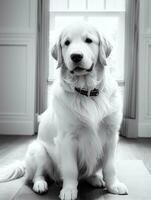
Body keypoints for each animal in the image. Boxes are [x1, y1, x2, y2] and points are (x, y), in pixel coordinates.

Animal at [0, 22, 127, 199]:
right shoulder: (68, 138)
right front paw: (69, 190)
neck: (87, 92)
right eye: (66, 43)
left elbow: (110, 167)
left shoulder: (111, 135)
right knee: (38, 174)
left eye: (89, 40)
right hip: (38, 150)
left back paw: (94, 178)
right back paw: (40, 185)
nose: (76, 56)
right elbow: (70, 169)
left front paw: (114, 185)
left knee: (87, 173)